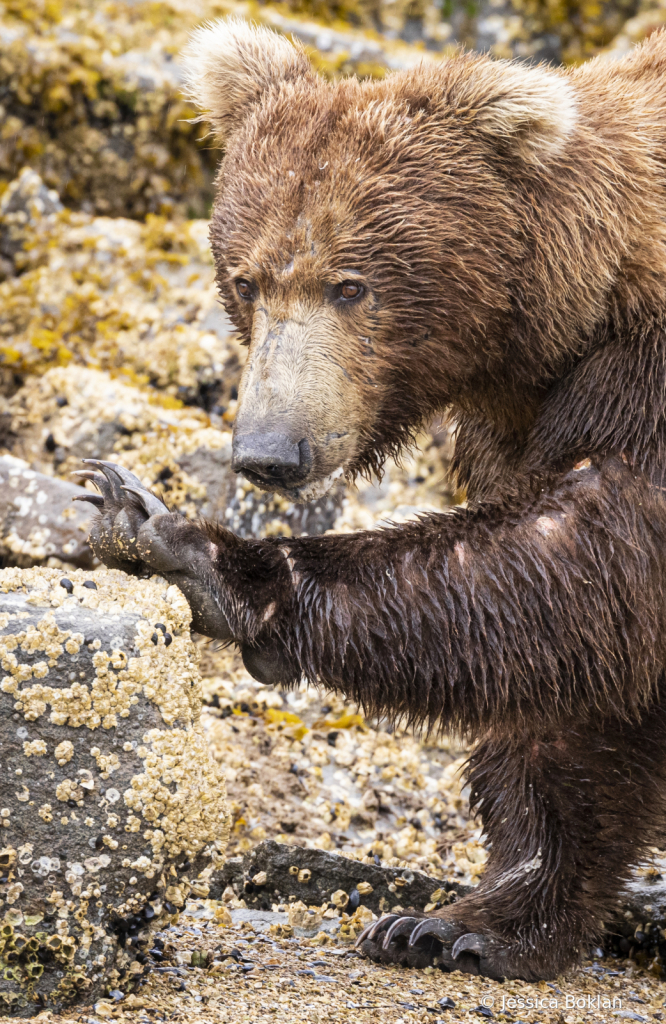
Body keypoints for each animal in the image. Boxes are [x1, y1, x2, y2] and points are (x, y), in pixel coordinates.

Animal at [76, 22, 666, 983]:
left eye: (350, 284)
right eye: (247, 281)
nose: (270, 451)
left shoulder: (643, 381)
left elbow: (583, 560)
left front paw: (202, 554)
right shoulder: (522, 418)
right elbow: (583, 687)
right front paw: (459, 922)